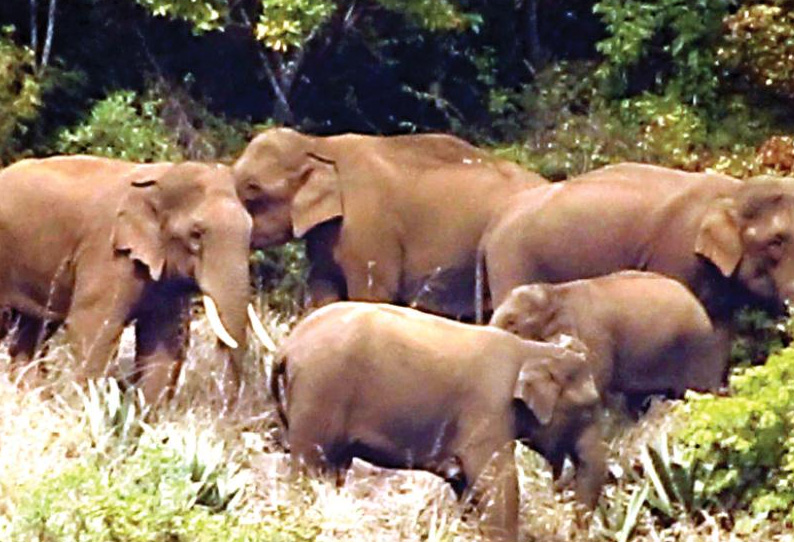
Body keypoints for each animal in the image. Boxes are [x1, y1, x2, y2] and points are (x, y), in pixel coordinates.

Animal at [0, 155, 270, 406]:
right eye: (196, 234)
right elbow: (92, 327)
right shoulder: (108, 252)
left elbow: (163, 340)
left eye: (250, 233)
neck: (160, 179)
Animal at [270, 304, 604, 540]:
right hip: (319, 393)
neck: (531, 349)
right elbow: (497, 484)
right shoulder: (489, 409)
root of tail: (286, 346)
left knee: (333, 469)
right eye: (588, 408)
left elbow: (467, 486)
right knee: (309, 468)